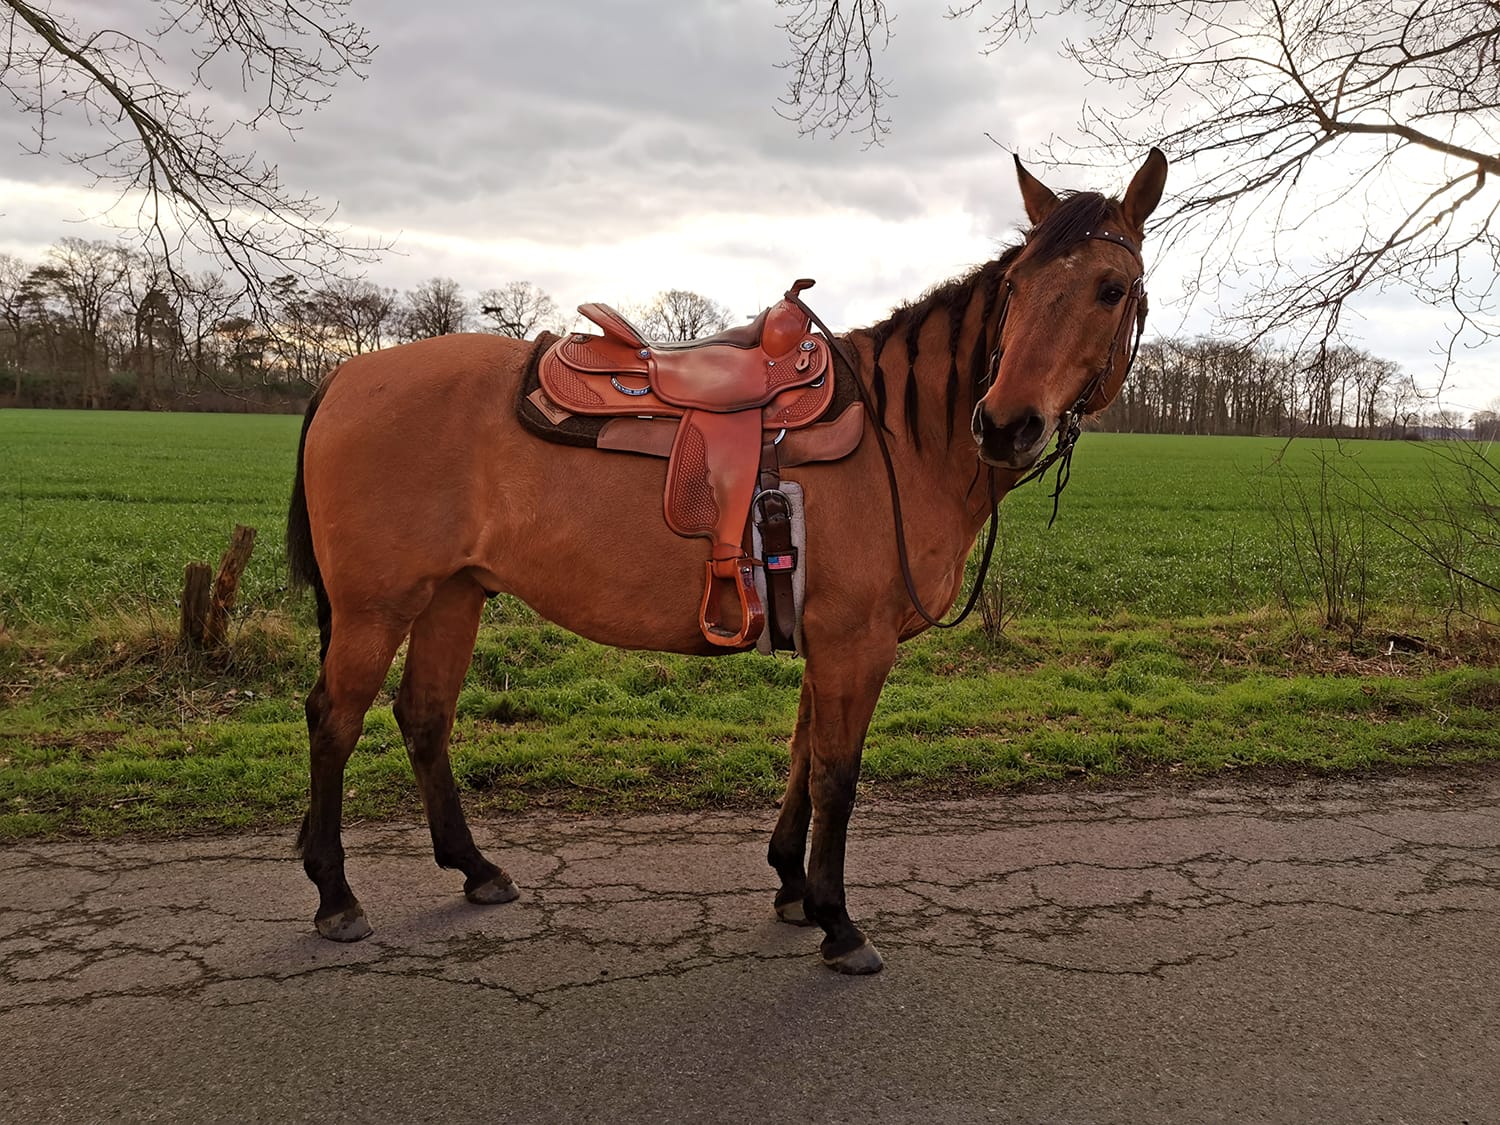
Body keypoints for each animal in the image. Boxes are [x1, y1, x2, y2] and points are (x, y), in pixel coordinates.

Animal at [286, 150, 1164, 978]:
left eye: (1112, 288)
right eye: (1017, 285)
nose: (1005, 423)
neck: (899, 435)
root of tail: (346, 374)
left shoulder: (829, 639)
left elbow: (804, 758)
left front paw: (793, 887)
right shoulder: (857, 642)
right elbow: (837, 775)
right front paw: (839, 922)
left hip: (451, 596)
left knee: (423, 716)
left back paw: (474, 867)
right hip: (376, 606)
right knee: (335, 720)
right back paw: (334, 895)